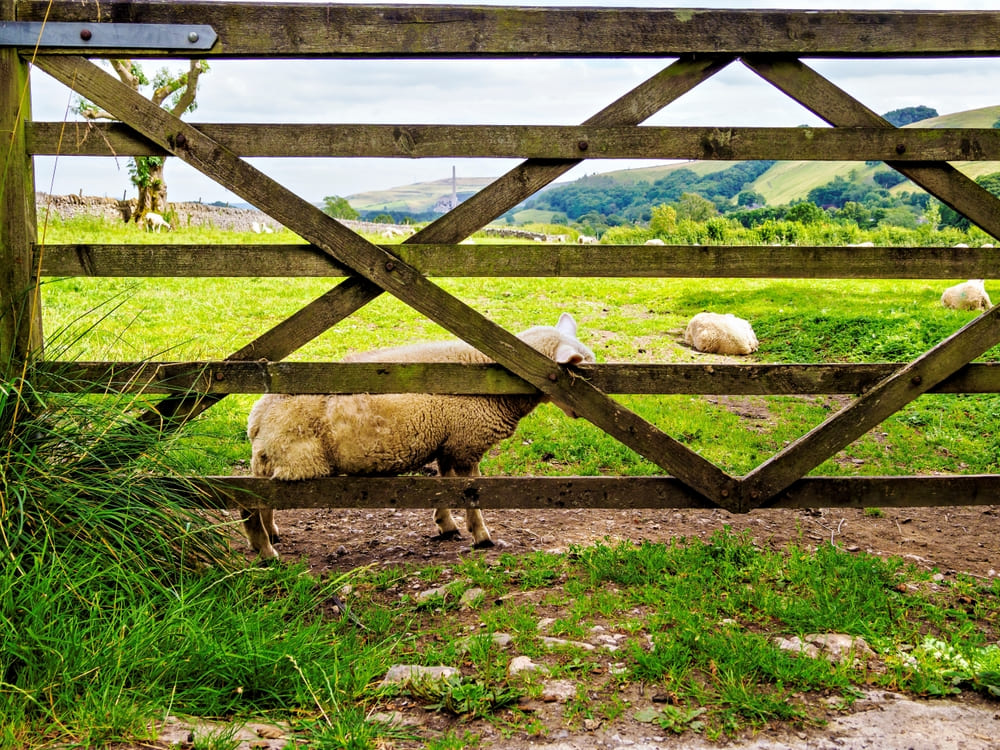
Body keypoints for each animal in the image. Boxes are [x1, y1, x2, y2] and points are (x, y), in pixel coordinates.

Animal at [243, 312, 596, 560]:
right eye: (582, 372)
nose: (589, 409)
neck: (496, 378)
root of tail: (258, 417)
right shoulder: (467, 445)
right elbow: (470, 495)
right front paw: (481, 535)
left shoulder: (448, 443)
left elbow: (443, 486)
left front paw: (446, 524)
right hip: (301, 461)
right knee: (250, 503)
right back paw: (265, 551)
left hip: (277, 459)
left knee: (261, 499)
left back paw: (270, 533)